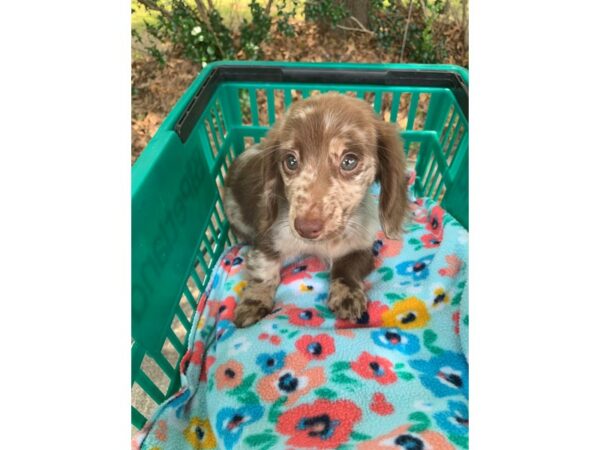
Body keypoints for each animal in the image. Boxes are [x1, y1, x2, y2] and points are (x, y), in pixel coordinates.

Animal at [224, 92, 408, 326]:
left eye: (349, 161)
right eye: (290, 161)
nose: (305, 228)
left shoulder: (360, 247)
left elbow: (346, 269)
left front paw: (347, 295)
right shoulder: (267, 239)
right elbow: (265, 273)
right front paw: (253, 303)